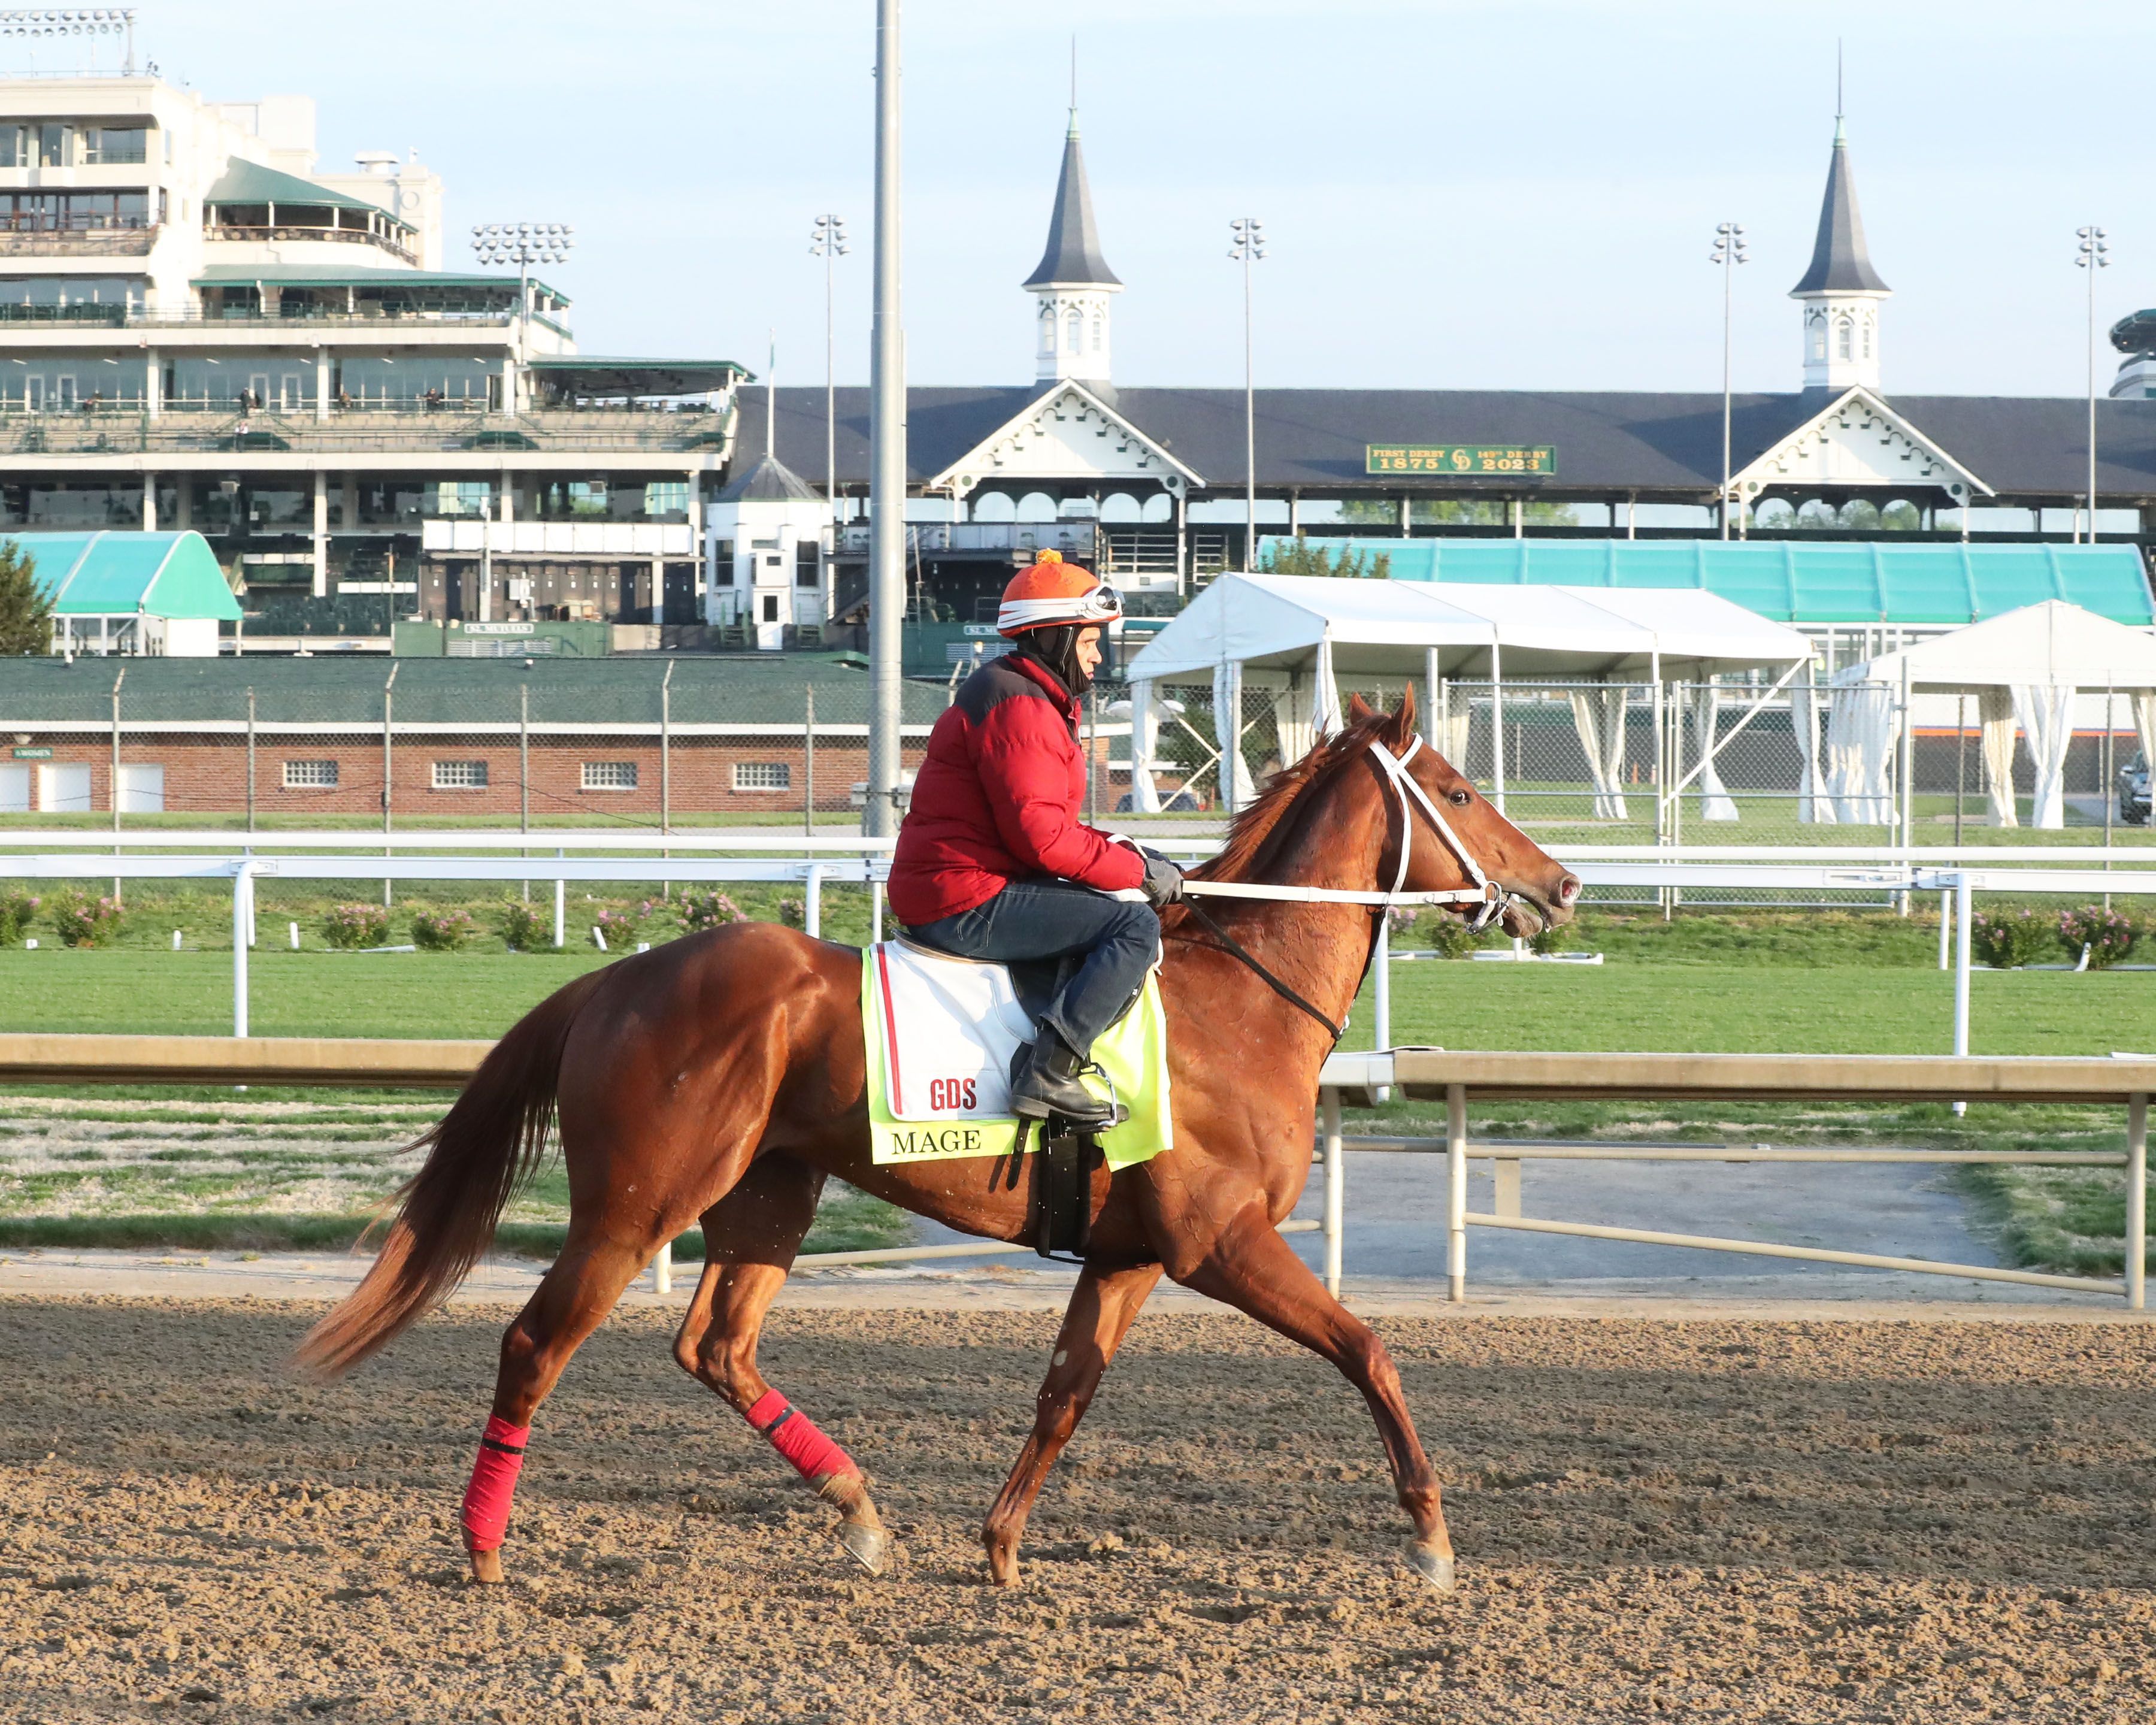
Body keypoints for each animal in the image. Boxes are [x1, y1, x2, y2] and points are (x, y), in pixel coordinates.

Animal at [295, 685, 1578, 1587]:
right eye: (1463, 791)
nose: (1560, 885)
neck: (1238, 1004)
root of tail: (615, 979)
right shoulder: (1219, 1242)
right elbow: (1370, 1350)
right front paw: (1432, 1540)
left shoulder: (1128, 1255)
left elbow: (1065, 1390)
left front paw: (1002, 1545)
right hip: (635, 1205)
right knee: (535, 1345)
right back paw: (484, 1547)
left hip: (766, 1196)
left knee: (717, 1348)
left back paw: (860, 1513)